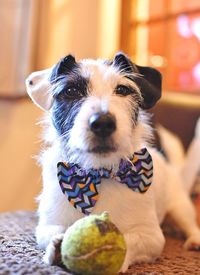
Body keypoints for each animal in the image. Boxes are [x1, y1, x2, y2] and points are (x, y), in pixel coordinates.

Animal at [25, 52, 200, 272]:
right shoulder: (47, 225)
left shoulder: (151, 236)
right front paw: (57, 246)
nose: (102, 123)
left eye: (123, 90)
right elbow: (52, 232)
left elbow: (129, 240)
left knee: (189, 224)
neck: (99, 173)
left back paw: (194, 239)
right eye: (71, 90)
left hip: (179, 207)